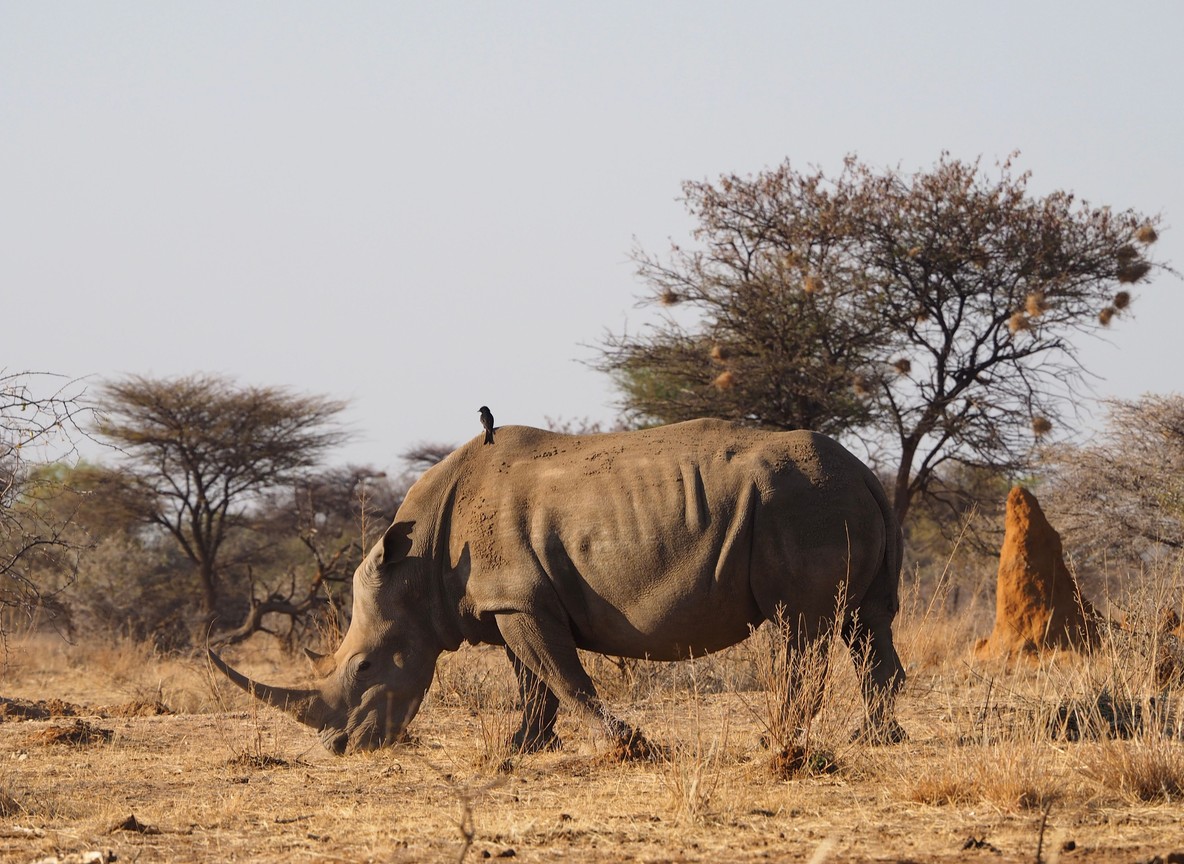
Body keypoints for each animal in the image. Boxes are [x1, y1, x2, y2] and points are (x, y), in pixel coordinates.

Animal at [209, 419, 905, 755]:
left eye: (364, 667)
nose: (338, 748)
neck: (418, 566)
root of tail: (868, 473)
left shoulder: (518, 596)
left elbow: (562, 674)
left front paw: (626, 743)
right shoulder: (508, 601)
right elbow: (533, 679)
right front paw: (526, 747)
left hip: (801, 503)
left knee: (803, 625)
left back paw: (776, 739)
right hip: (831, 497)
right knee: (865, 622)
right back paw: (875, 739)